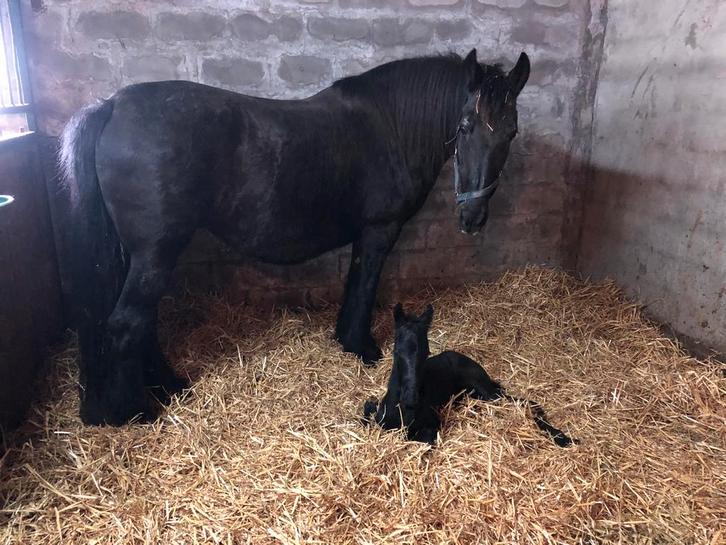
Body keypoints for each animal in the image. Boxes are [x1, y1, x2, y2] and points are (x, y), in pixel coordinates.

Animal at [60, 48, 530, 426]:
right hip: (156, 253)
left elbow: (355, 283)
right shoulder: (378, 230)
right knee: (127, 323)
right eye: (466, 125)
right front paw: (361, 346)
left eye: (511, 132)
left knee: (142, 321)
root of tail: (112, 106)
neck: (392, 126)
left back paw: (168, 386)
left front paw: (347, 341)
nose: (473, 216)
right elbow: (365, 284)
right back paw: (135, 412)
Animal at [363, 303, 576, 447]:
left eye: (426, 353)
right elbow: (368, 412)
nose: (411, 400)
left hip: (487, 392)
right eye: (397, 352)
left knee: (526, 403)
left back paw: (562, 437)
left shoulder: (433, 425)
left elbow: (421, 439)